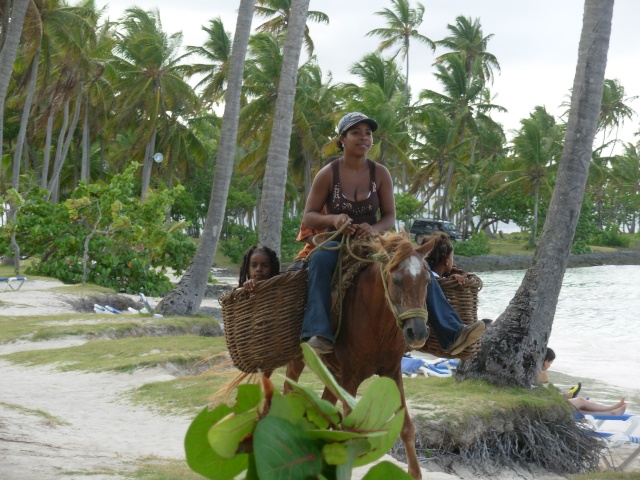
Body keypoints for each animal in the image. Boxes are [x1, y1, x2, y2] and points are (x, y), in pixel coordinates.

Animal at [286, 232, 432, 480]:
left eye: (427, 281)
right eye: (396, 279)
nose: (418, 332)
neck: (376, 322)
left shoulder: (392, 372)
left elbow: (406, 427)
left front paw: (414, 472)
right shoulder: (350, 377)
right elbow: (349, 433)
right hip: (297, 361)